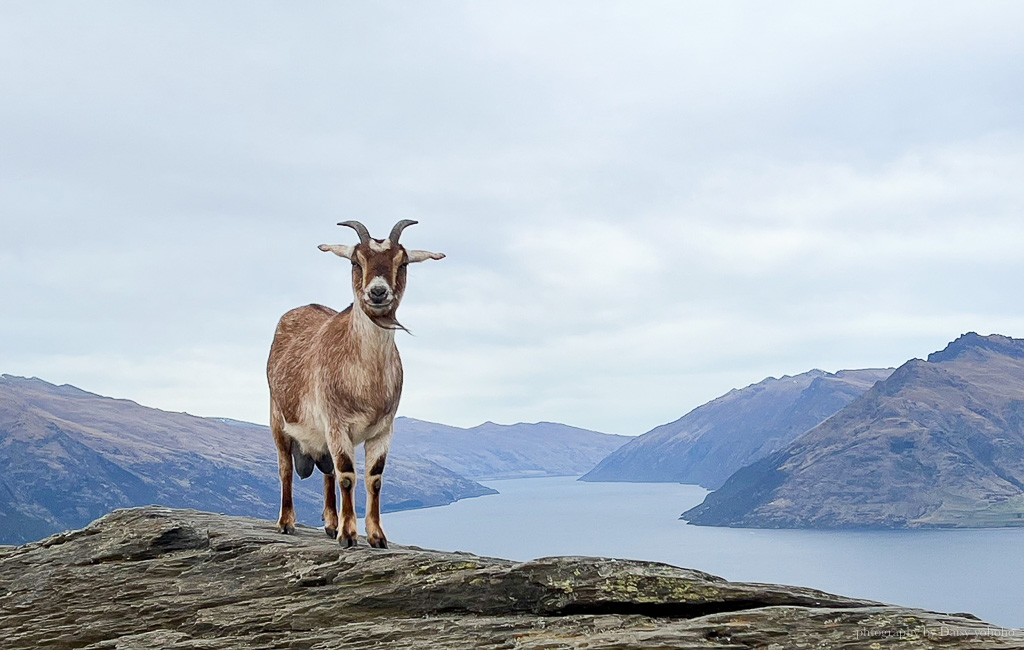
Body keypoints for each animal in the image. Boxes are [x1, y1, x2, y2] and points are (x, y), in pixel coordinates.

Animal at [266, 221, 442, 548]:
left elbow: (374, 478)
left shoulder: (384, 429)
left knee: (327, 473)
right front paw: (348, 535)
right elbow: (347, 475)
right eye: (355, 261)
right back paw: (286, 522)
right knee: (285, 467)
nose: (378, 292)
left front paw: (376, 536)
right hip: (277, 418)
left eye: (403, 263)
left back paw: (330, 523)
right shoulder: (337, 423)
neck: (367, 382)